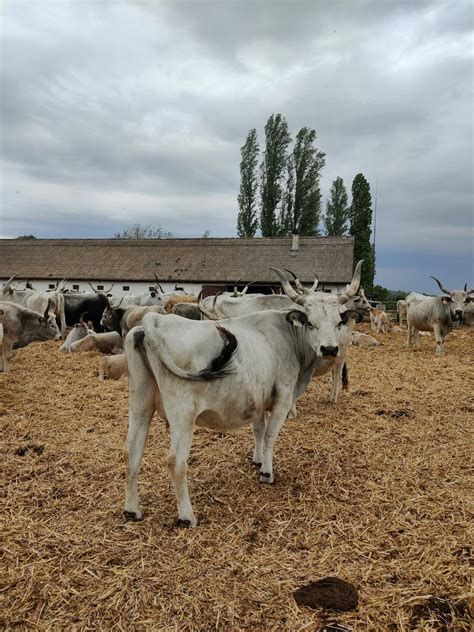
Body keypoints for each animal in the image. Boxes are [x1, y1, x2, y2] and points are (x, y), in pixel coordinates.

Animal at [122, 260, 362, 524]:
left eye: (339, 321)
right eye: (311, 322)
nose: (329, 349)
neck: (287, 337)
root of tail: (155, 320)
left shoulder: (258, 399)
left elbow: (258, 430)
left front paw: (257, 460)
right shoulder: (283, 397)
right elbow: (270, 435)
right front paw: (267, 472)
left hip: (140, 405)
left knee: (132, 453)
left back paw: (132, 509)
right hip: (182, 415)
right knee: (176, 461)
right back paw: (187, 516)